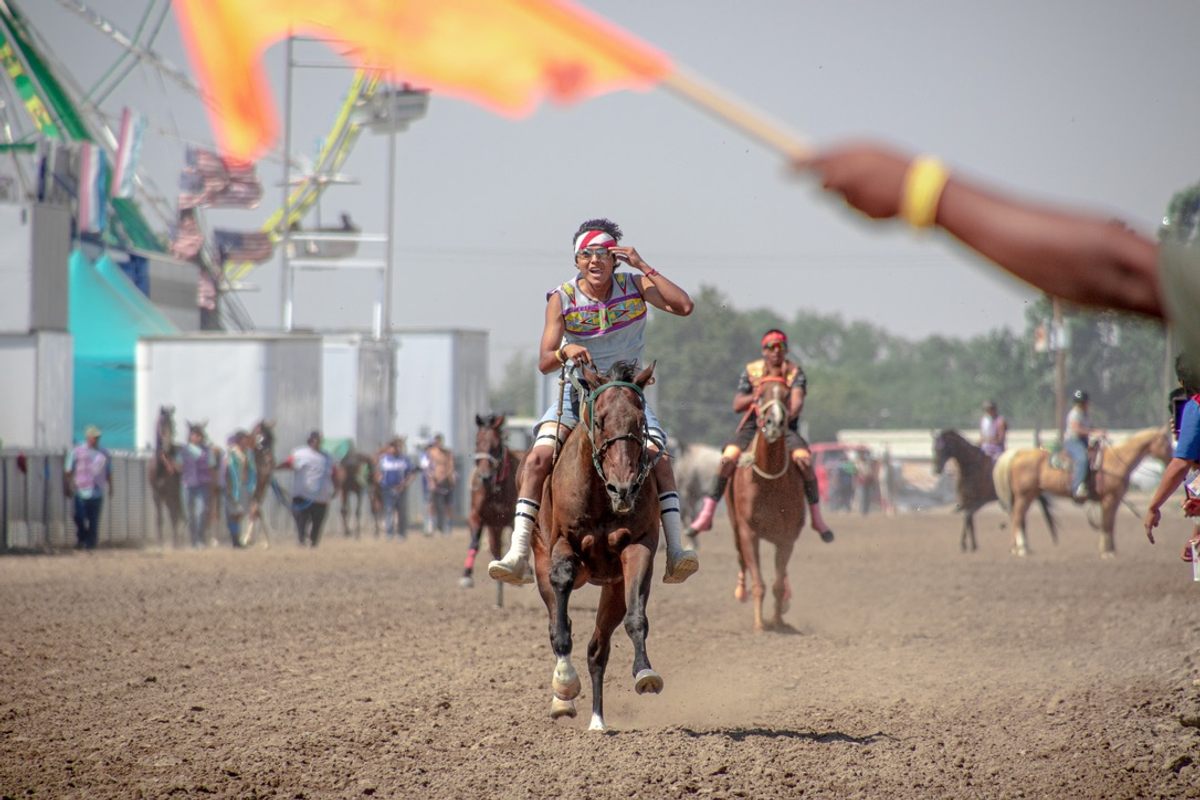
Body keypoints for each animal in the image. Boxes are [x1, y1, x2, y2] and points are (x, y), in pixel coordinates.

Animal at [993, 424, 1171, 556]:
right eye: (1166, 441)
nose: (1171, 459)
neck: (1115, 462)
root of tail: (1016, 453)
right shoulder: (1109, 498)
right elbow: (1107, 523)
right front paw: (1107, 551)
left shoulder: (1114, 500)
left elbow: (1110, 523)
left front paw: (1110, 549)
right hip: (1024, 495)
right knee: (1017, 518)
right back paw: (1022, 549)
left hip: (1029, 495)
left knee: (1018, 518)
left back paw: (1019, 548)